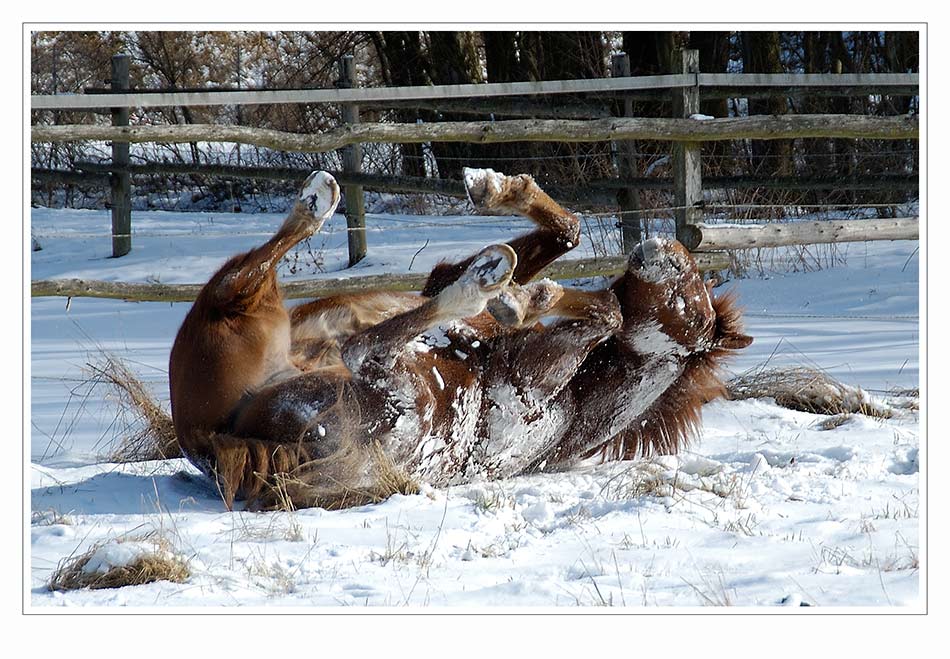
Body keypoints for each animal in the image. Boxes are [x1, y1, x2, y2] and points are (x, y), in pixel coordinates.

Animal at [169, 169, 752, 510]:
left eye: (697, 301)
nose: (666, 245)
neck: (578, 399)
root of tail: (215, 443)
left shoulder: (531, 373)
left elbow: (606, 312)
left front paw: (521, 297)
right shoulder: (440, 280)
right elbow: (567, 234)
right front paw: (498, 192)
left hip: (382, 387)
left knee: (355, 342)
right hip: (245, 326)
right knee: (255, 274)